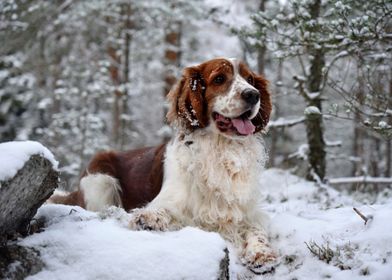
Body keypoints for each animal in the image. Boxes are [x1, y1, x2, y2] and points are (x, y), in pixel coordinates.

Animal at [51, 57, 276, 274]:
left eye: (250, 79)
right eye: (219, 79)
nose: (253, 95)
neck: (221, 148)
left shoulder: (249, 211)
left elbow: (257, 230)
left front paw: (262, 254)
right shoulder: (171, 202)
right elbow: (164, 211)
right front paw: (149, 219)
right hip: (101, 178)